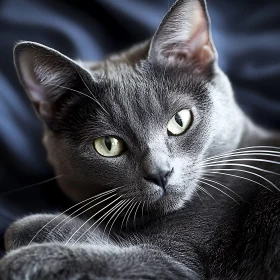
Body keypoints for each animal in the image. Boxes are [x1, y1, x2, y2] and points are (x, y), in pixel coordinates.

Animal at [0, 0, 280, 278]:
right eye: (108, 145)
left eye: (180, 120)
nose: (160, 173)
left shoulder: (181, 265)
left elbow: (113, 257)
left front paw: (19, 255)